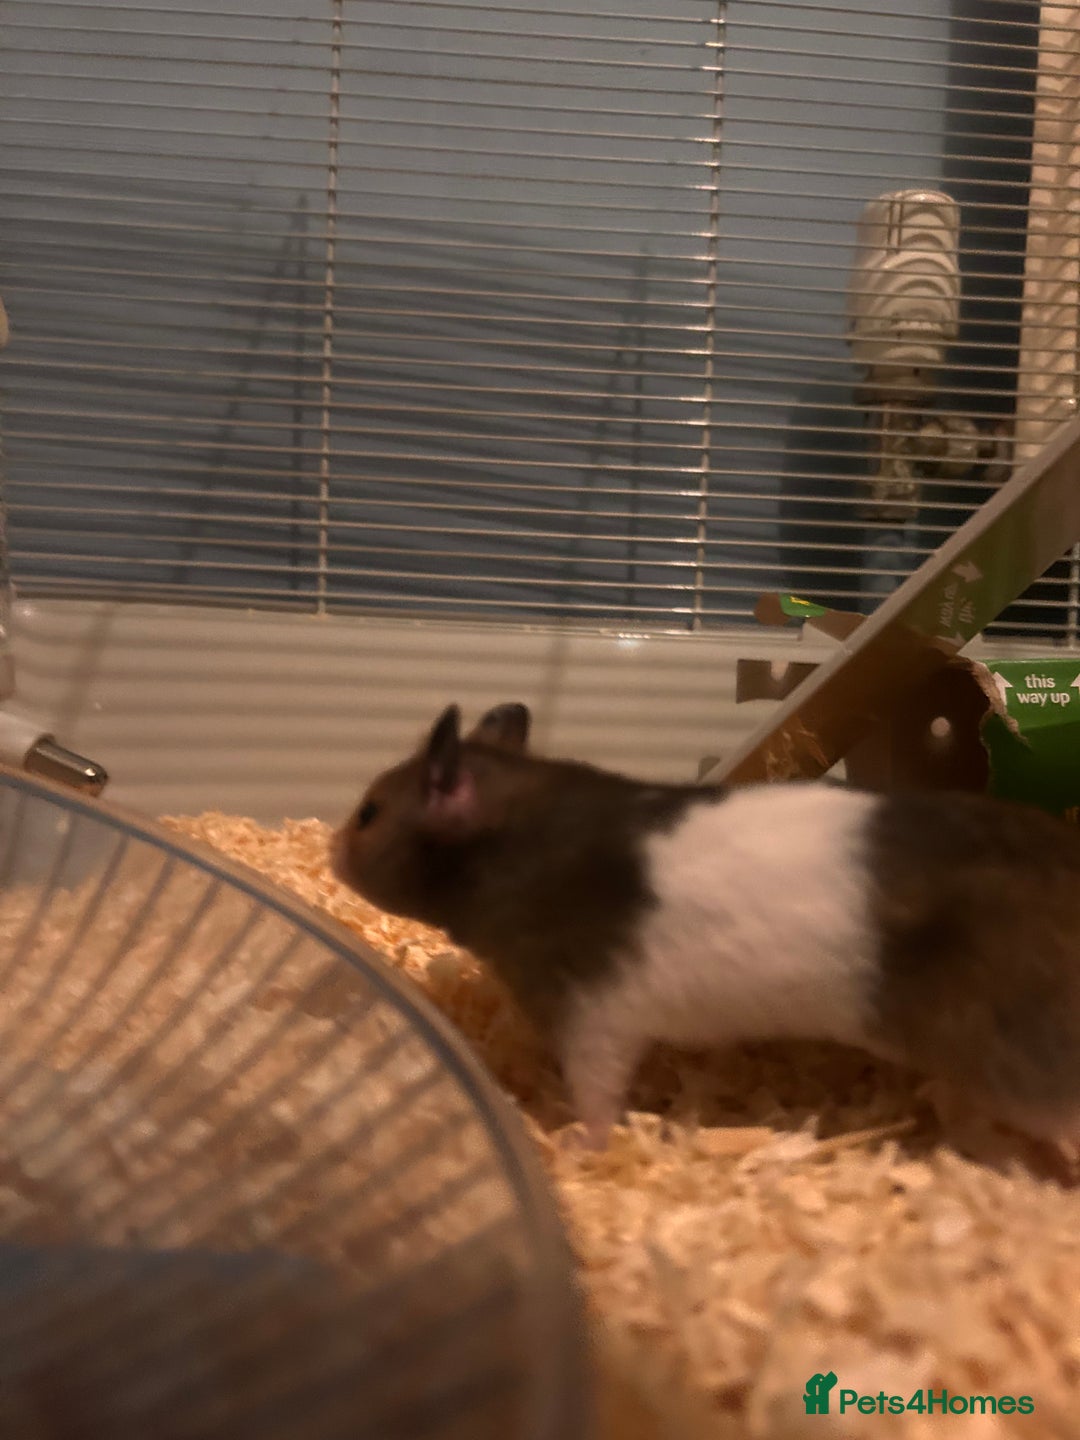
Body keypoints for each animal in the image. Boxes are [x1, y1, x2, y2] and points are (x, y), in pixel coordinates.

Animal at [331, 701, 1080, 1154]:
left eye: (368, 814)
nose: (332, 856)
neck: (517, 841)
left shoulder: (591, 1015)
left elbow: (597, 1097)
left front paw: (574, 1142)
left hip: (1019, 1059)